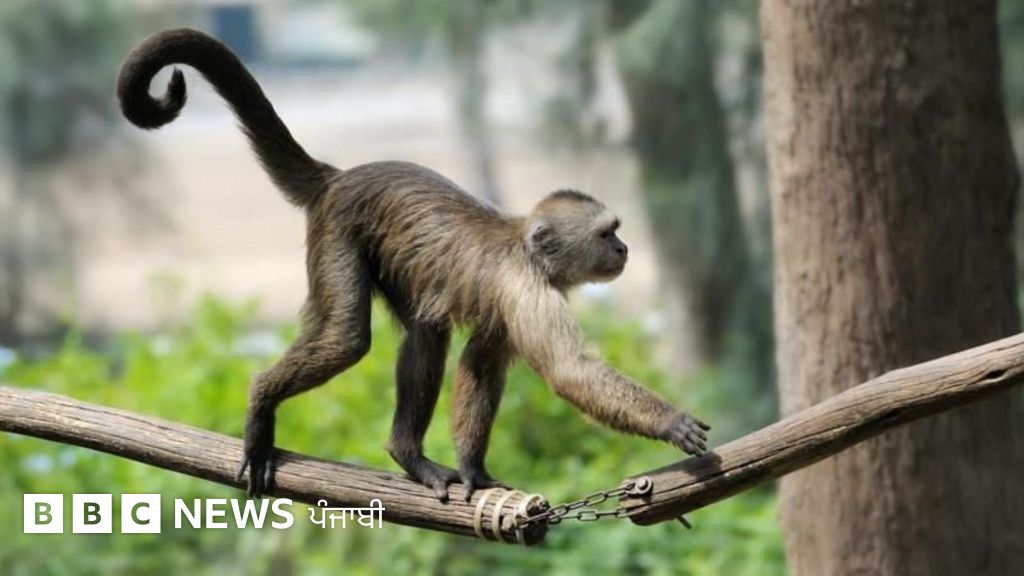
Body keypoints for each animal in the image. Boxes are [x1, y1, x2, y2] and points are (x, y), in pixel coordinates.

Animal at [117, 28, 710, 502]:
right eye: (608, 233)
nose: (624, 250)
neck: (525, 250)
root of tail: (337, 177)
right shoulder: (526, 289)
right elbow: (571, 371)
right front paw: (671, 421)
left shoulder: (514, 300)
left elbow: (482, 363)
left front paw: (474, 468)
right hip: (338, 231)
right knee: (347, 338)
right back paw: (263, 402)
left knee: (427, 332)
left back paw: (408, 455)